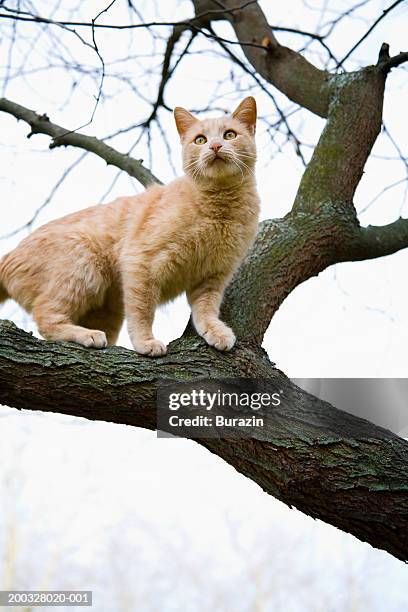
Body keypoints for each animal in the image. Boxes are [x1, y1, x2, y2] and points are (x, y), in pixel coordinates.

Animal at [0, 95, 260, 354]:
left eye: (229, 135)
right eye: (200, 139)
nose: (215, 146)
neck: (219, 210)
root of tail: (9, 255)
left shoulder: (212, 277)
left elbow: (206, 311)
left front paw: (215, 331)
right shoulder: (142, 262)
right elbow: (142, 310)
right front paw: (146, 341)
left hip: (105, 309)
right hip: (85, 268)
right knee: (46, 316)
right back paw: (86, 335)